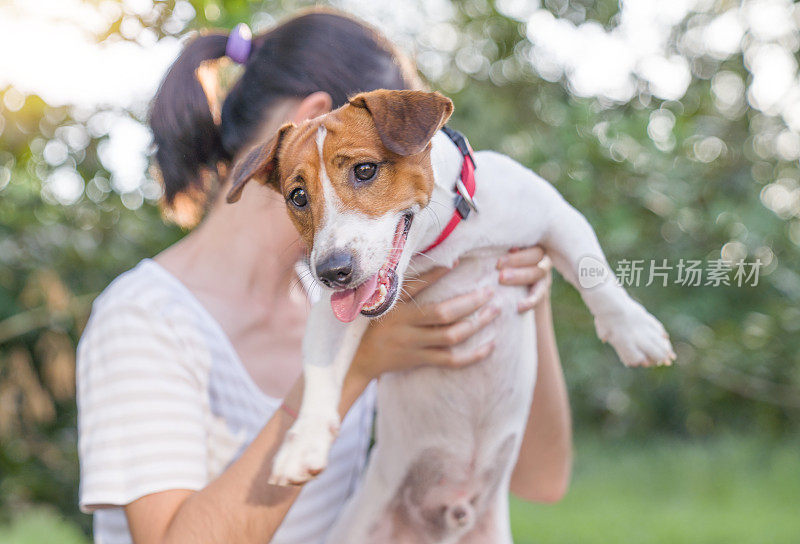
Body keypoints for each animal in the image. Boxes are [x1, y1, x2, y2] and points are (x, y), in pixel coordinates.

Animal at [227, 87, 676, 540]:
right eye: (298, 197)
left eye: (365, 170)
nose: (332, 272)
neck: (442, 243)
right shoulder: (330, 316)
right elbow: (320, 372)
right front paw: (305, 440)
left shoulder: (554, 213)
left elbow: (590, 267)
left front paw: (634, 330)